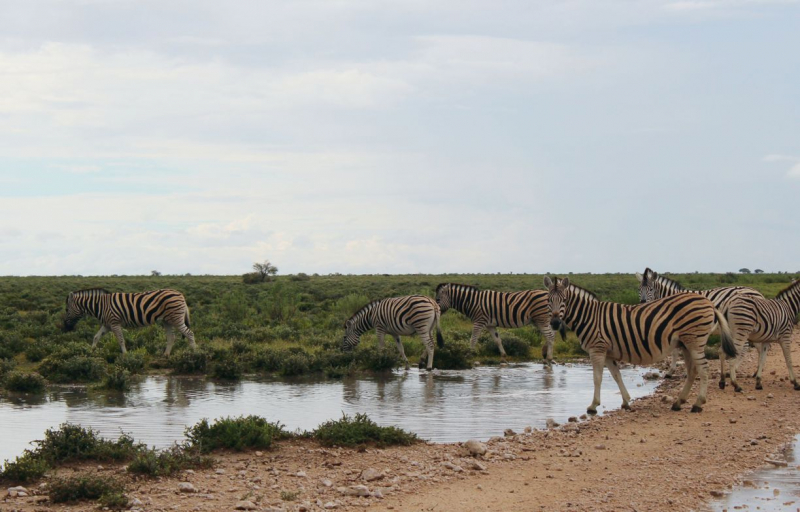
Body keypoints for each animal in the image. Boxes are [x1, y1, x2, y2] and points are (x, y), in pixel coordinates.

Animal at [61, 288, 195, 356]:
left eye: (67, 310)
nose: (65, 327)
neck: (101, 305)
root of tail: (180, 294)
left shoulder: (114, 323)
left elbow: (121, 340)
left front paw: (125, 355)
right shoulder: (107, 325)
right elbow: (96, 337)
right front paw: (90, 352)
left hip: (176, 318)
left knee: (189, 333)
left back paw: (195, 354)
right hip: (167, 320)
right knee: (172, 337)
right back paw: (166, 355)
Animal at [548, 276, 736, 416]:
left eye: (564, 300)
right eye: (549, 300)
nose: (555, 323)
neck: (589, 317)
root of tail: (708, 302)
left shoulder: (597, 349)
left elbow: (597, 378)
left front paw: (593, 406)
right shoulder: (608, 352)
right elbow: (616, 376)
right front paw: (626, 401)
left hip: (695, 341)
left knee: (703, 369)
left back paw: (698, 404)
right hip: (686, 343)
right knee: (692, 371)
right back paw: (678, 402)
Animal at [636, 266, 764, 390]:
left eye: (651, 289)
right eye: (639, 289)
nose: (642, 303)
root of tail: (757, 292)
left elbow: (676, 352)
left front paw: (671, 372)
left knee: (747, 347)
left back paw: (737, 371)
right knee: (757, 347)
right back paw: (754, 372)